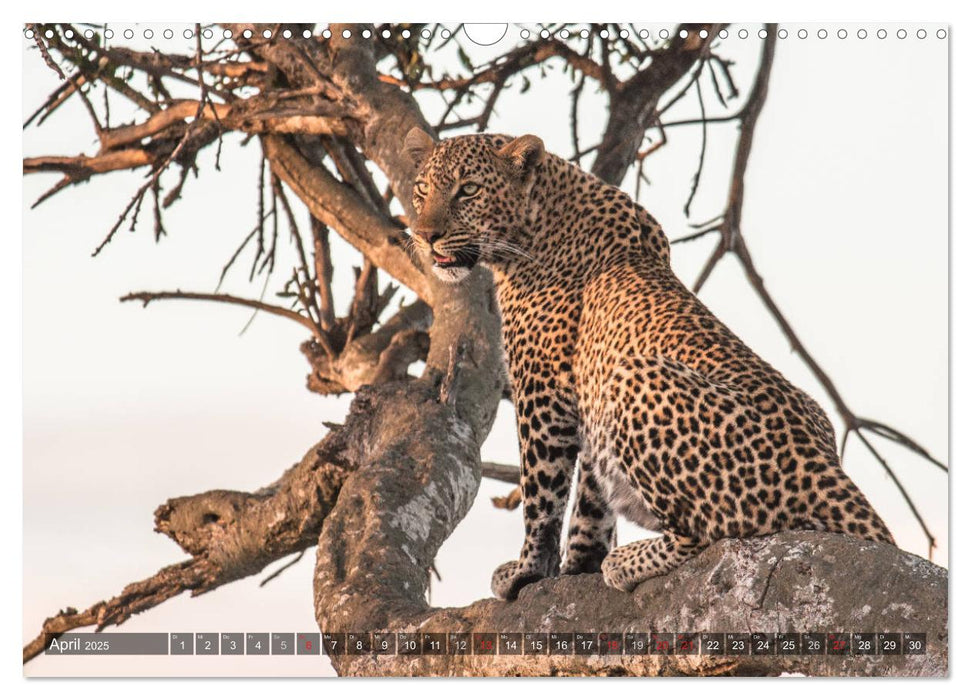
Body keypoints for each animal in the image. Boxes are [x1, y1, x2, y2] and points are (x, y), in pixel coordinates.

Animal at [402, 127, 896, 600]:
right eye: (422, 191)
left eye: (467, 190)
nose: (425, 235)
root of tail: (828, 472)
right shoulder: (589, 397)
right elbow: (591, 500)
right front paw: (578, 565)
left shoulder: (542, 391)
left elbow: (542, 494)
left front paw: (528, 570)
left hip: (636, 377)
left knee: (710, 531)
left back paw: (627, 562)